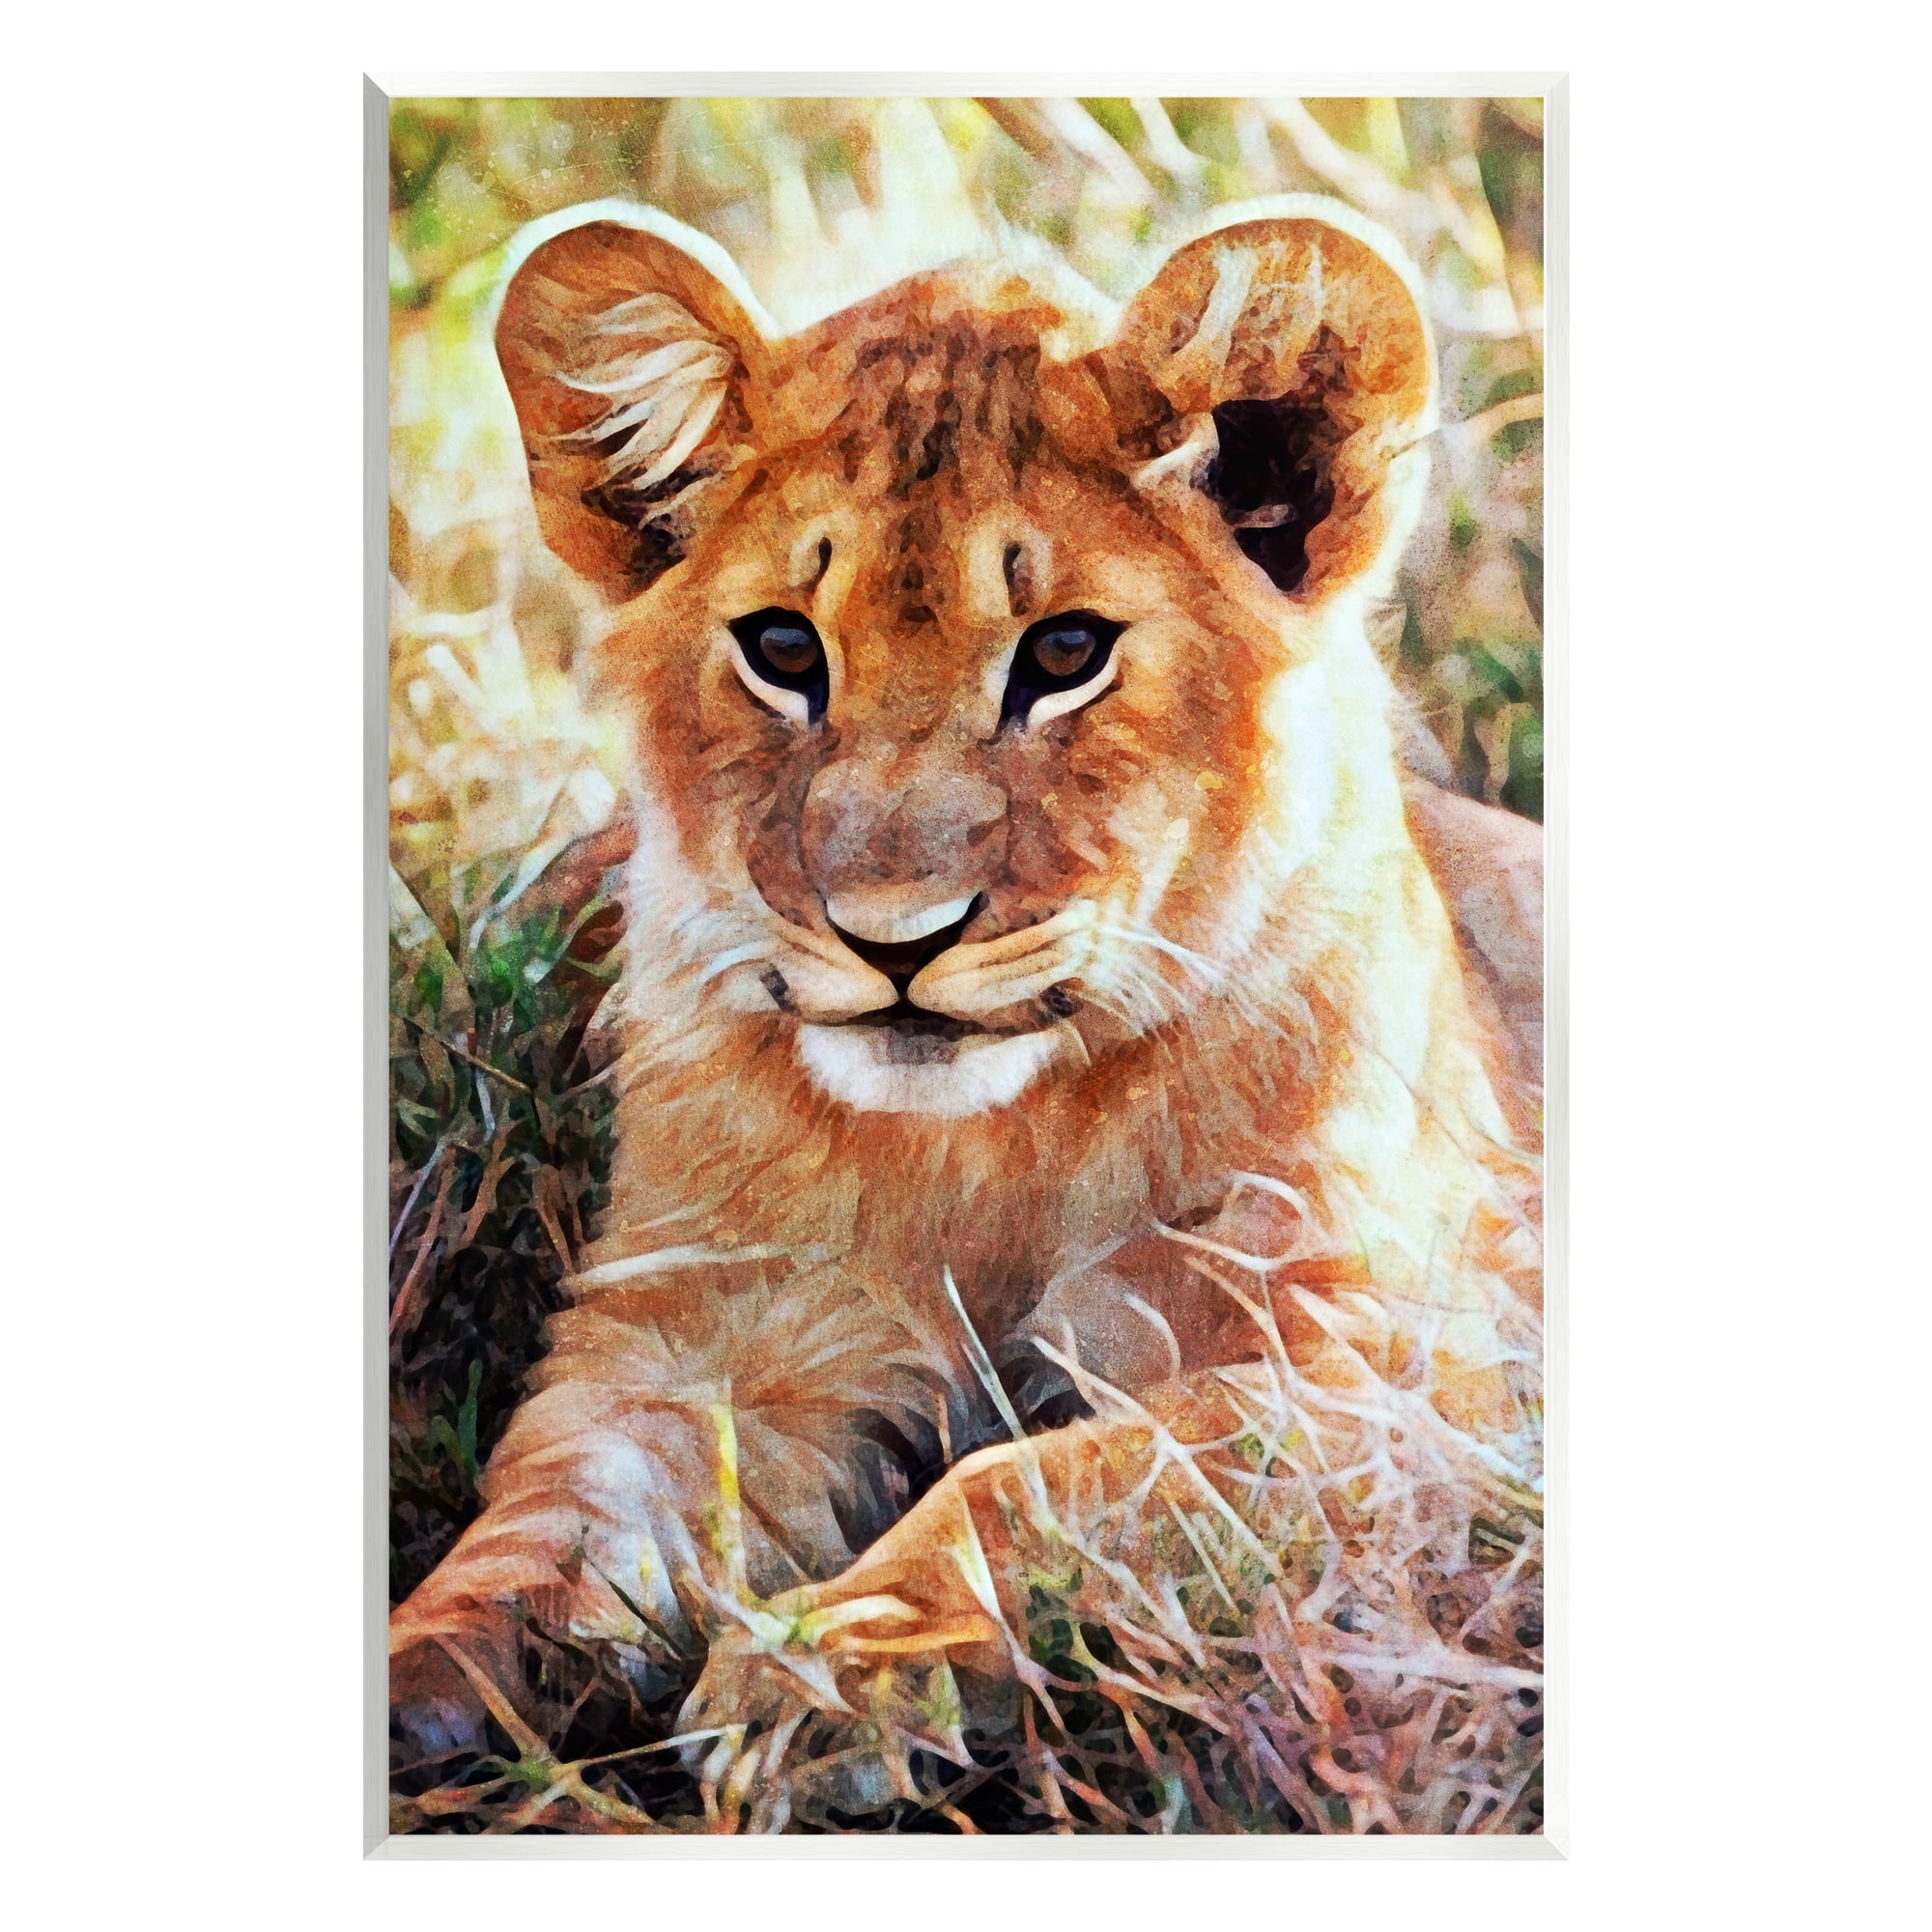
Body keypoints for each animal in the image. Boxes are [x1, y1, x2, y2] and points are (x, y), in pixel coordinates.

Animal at [390, 194, 1544, 1833]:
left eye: (1065, 654)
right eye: (783, 650)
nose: (895, 940)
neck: (989, 1155)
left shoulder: (1412, 1380)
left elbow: (1052, 1480)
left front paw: (824, 1676)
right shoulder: (691, 1342)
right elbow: (542, 1524)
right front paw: (421, 1688)